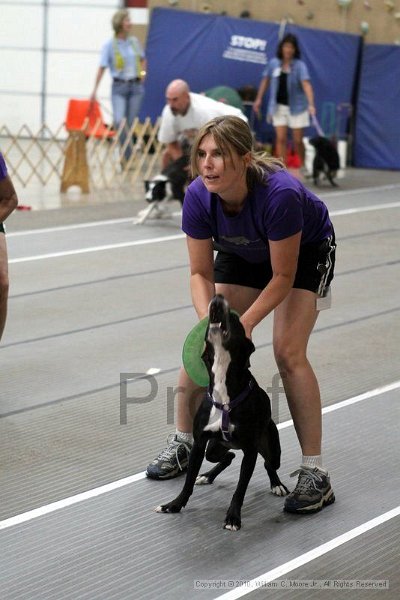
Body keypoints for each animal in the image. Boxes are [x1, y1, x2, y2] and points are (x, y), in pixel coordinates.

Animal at [155, 296, 290, 528]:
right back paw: (207, 476)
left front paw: (233, 517)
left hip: (271, 448)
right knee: (228, 456)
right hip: (214, 449)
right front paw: (174, 505)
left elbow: (240, 489)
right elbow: (188, 481)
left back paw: (277, 484)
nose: (217, 299)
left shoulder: (250, 451)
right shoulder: (200, 445)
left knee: (268, 463)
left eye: (236, 318)